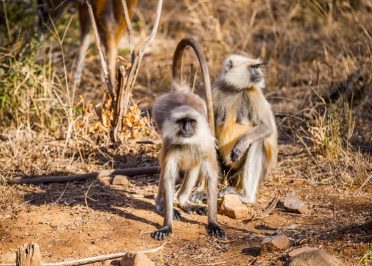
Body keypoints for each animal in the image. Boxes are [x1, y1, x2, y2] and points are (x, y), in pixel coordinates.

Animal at [150, 38, 224, 241]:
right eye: (182, 122)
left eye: (191, 122)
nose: (187, 128)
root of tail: (179, 91)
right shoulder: (170, 142)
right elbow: (168, 177)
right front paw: (167, 225)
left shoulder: (205, 144)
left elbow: (211, 176)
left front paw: (212, 222)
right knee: (167, 170)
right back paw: (162, 205)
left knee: (194, 164)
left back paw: (184, 201)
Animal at [212, 54, 280, 204]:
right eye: (253, 68)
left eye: (257, 67)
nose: (260, 74)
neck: (235, 89)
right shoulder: (217, 89)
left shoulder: (254, 93)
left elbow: (267, 127)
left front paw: (241, 145)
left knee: (257, 143)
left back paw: (246, 197)